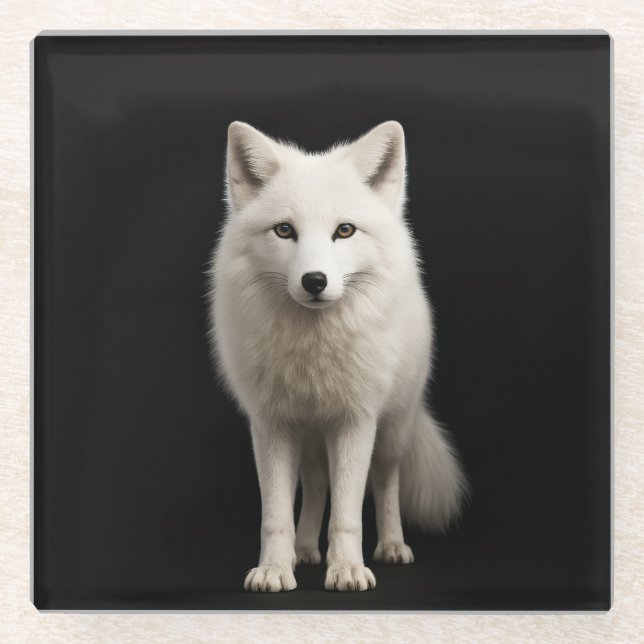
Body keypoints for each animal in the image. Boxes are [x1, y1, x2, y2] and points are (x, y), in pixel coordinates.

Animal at [207, 120, 467, 592]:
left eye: (344, 231)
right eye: (284, 231)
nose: (314, 281)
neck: (313, 353)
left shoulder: (355, 422)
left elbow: (347, 514)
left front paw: (347, 569)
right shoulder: (271, 425)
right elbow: (276, 514)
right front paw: (275, 568)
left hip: (392, 431)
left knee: (385, 483)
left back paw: (392, 546)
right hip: (310, 439)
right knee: (315, 487)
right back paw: (305, 551)